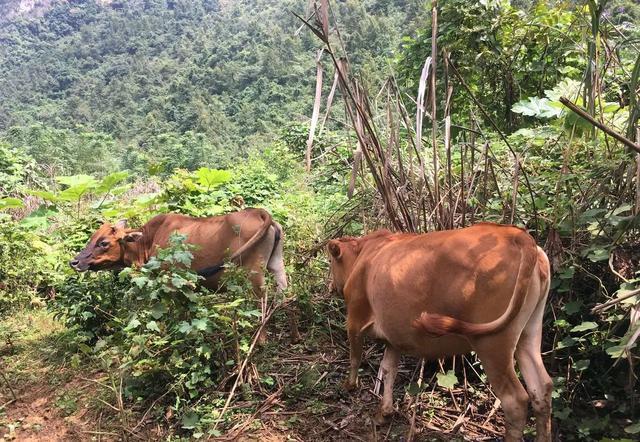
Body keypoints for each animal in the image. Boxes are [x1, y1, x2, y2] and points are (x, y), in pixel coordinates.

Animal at [70, 207, 300, 342]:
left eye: (103, 242)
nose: (74, 262)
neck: (148, 241)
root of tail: (259, 213)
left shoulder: (172, 285)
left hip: (253, 276)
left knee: (262, 304)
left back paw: (259, 342)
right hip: (277, 265)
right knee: (286, 295)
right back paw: (295, 336)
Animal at [328, 224, 552, 442]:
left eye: (331, 262)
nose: (331, 286)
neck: (366, 251)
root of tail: (515, 234)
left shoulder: (354, 319)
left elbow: (355, 357)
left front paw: (349, 385)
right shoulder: (393, 338)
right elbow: (388, 369)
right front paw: (384, 412)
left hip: (492, 344)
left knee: (515, 401)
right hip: (529, 332)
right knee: (541, 388)